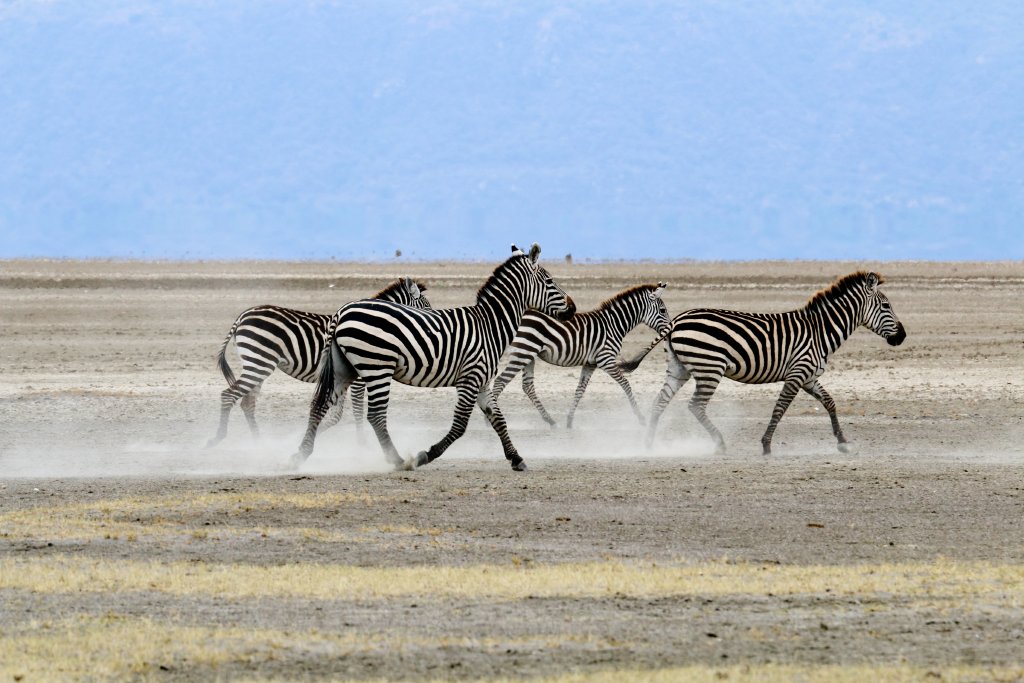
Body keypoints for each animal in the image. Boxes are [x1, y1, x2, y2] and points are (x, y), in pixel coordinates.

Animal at [206, 277, 431, 448]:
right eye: (427, 306)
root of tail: (243, 316)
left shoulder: (343, 378)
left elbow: (336, 415)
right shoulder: (359, 378)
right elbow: (356, 410)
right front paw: (362, 444)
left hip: (256, 364)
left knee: (247, 402)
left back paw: (258, 442)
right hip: (259, 362)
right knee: (229, 395)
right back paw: (217, 438)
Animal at [291, 243, 576, 472]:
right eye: (550, 281)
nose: (573, 308)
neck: (490, 325)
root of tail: (342, 312)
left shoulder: (482, 381)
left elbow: (498, 419)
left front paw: (516, 458)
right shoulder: (470, 378)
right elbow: (460, 425)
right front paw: (425, 455)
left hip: (344, 368)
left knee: (319, 406)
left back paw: (300, 455)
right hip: (377, 366)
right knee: (376, 415)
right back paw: (398, 460)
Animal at [492, 283, 671, 428]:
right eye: (663, 310)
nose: (670, 329)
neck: (614, 325)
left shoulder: (590, 363)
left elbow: (580, 390)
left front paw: (570, 421)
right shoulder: (605, 359)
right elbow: (626, 384)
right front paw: (640, 418)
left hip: (528, 355)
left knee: (527, 386)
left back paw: (550, 420)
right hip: (523, 352)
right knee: (500, 381)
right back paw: (491, 418)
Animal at [619, 271, 906, 455]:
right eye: (885, 305)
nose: (902, 336)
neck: (820, 331)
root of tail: (677, 320)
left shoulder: (810, 376)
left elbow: (830, 402)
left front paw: (843, 442)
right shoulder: (797, 373)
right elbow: (779, 409)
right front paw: (766, 444)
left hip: (679, 368)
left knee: (659, 402)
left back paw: (649, 445)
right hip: (710, 368)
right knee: (696, 406)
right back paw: (719, 443)